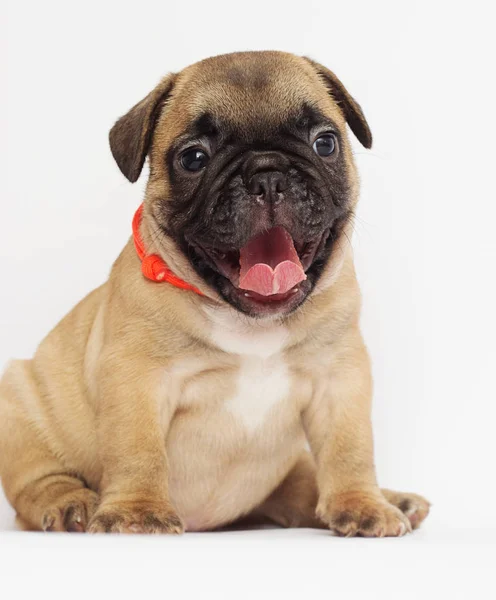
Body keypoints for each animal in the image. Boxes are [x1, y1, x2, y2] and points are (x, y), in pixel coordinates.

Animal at [0, 51, 428, 536]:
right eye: (193, 158)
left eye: (325, 143)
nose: (267, 174)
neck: (251, 324)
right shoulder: (136, 378)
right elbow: (137, 449)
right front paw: (136, 512)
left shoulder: (340, 376)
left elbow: (349, 447)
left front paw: (362, 504)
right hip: (22, 402)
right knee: (38, 483)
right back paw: (71, 504)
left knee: (305, 481)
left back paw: (394, 499)